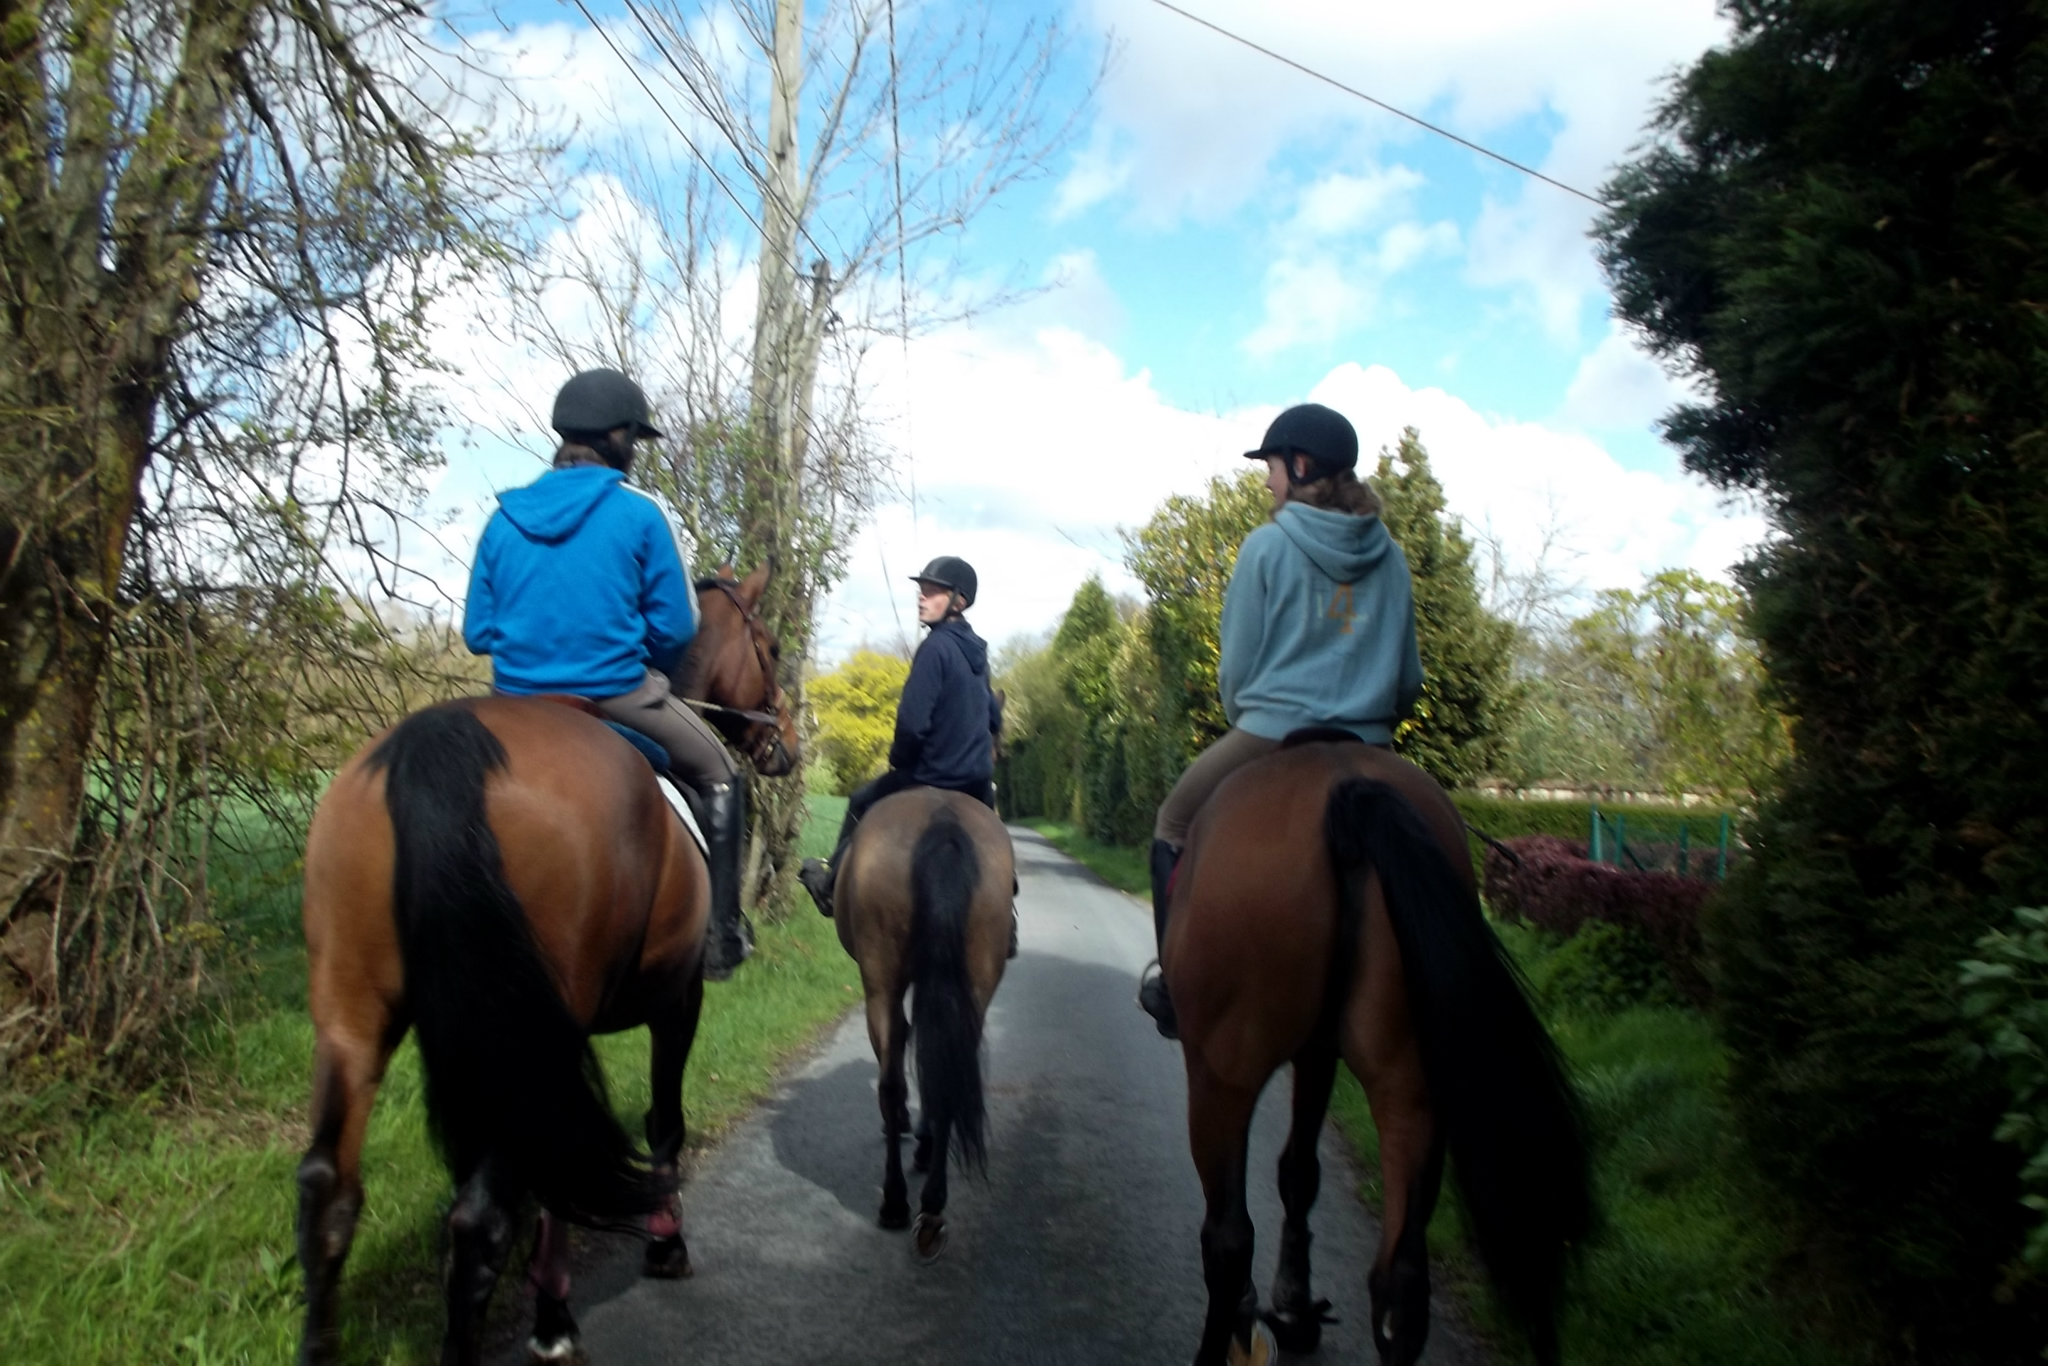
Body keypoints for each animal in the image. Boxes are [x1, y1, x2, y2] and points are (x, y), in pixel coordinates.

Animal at [294, 565, 798, 1366]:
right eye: (770, 647)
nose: (784, 746)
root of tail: (445, 744)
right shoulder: (677, 1000)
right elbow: (664, 1123)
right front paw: (658, 1252)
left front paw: (554, 1312)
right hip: (512, 1030)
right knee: (476, 1224)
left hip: (356, 1020)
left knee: (326, 1193)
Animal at [827, 786, 1011, 1269]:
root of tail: (942, 821)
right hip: (974, 987)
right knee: (946, 1075)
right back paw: (931, 1206)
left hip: (880, 986)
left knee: (891, 1082)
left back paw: (895, 1200)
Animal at [1163, 749, 1589, 1366]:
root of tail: (1348, 789)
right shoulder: (1319, 1053)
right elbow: (1299, 1172)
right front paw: (1295, 1305)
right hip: (1410, 1089)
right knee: (1401, 1283)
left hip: (1222, 1076)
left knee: (1229, 1240)